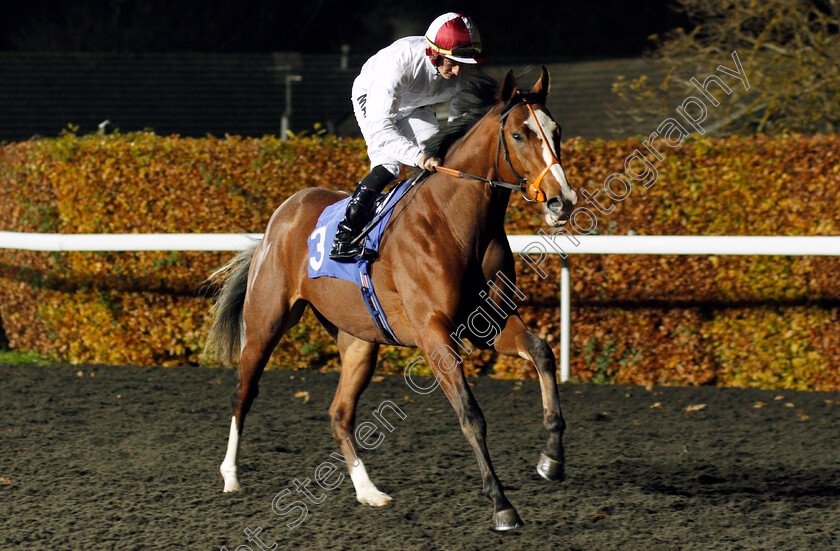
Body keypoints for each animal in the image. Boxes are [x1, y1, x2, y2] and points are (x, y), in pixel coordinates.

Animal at [207, 67, 576, 532]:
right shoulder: (434, 333)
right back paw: (230, 475)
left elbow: (542, 352)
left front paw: (552, 459)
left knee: (339, 414)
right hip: (266, 323)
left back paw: (368, 491)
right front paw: (502, 505)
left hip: (359, 341)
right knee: (244, 391)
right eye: (518, 134)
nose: (563, 201)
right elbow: (470, 414)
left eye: (556, 131)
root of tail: (282, 214)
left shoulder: (487, 324)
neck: (455, 224)